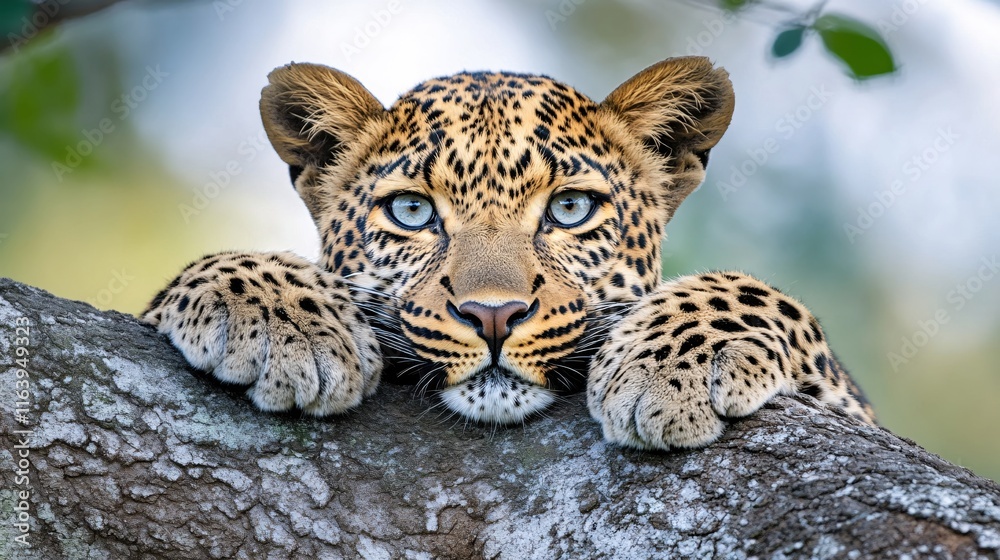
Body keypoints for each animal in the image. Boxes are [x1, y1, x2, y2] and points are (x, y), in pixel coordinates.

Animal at [142, 56, 875, 450]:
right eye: (412, 212)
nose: (493, 315)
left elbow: (758, 292)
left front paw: (667, 370)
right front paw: (278, 319)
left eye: (570, 209)